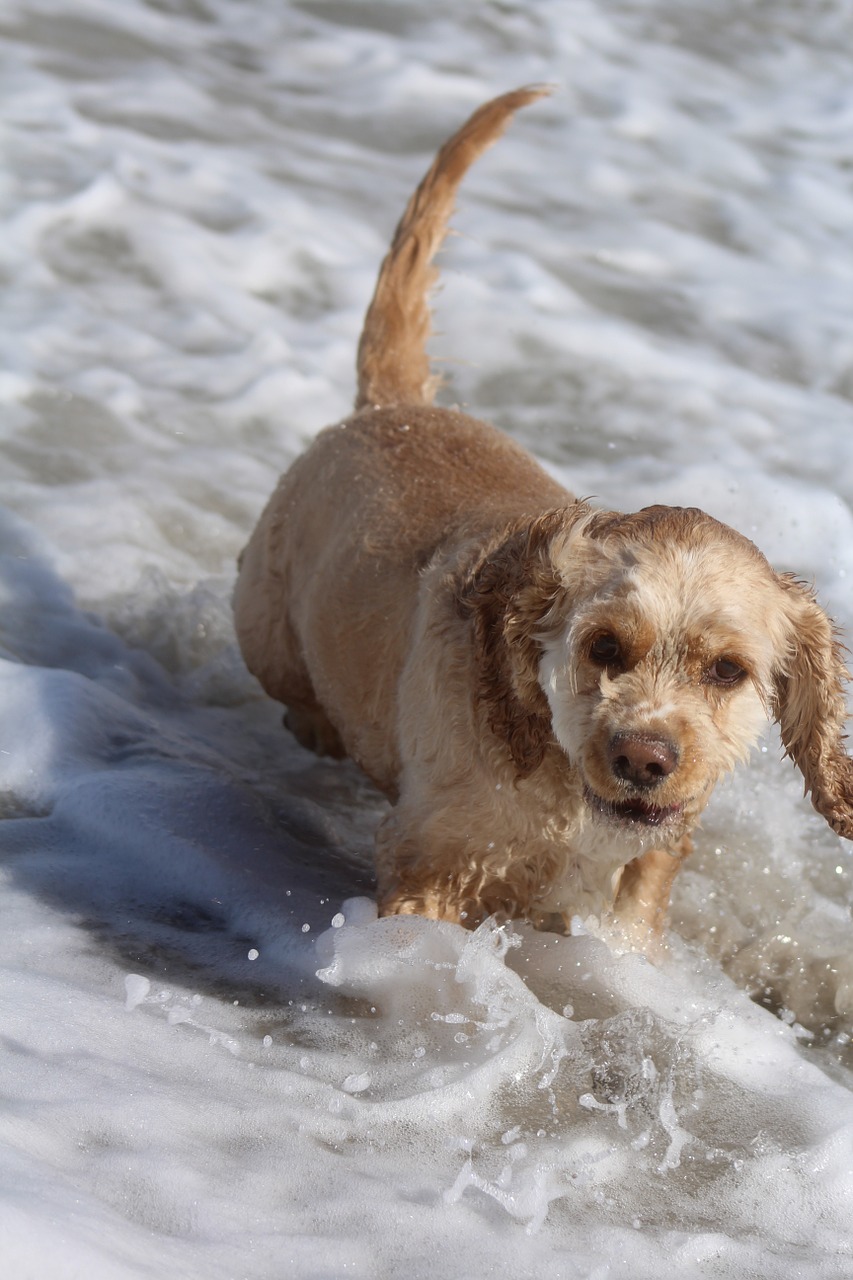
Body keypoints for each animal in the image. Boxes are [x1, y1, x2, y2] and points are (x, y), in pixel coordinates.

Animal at [233, 87, 850, 952]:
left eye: (727, 670)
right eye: (603, 646)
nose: (645, 758)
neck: (561, 777)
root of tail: (395, 406)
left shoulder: (648, 866)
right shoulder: (429, 857)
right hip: (264, 625)